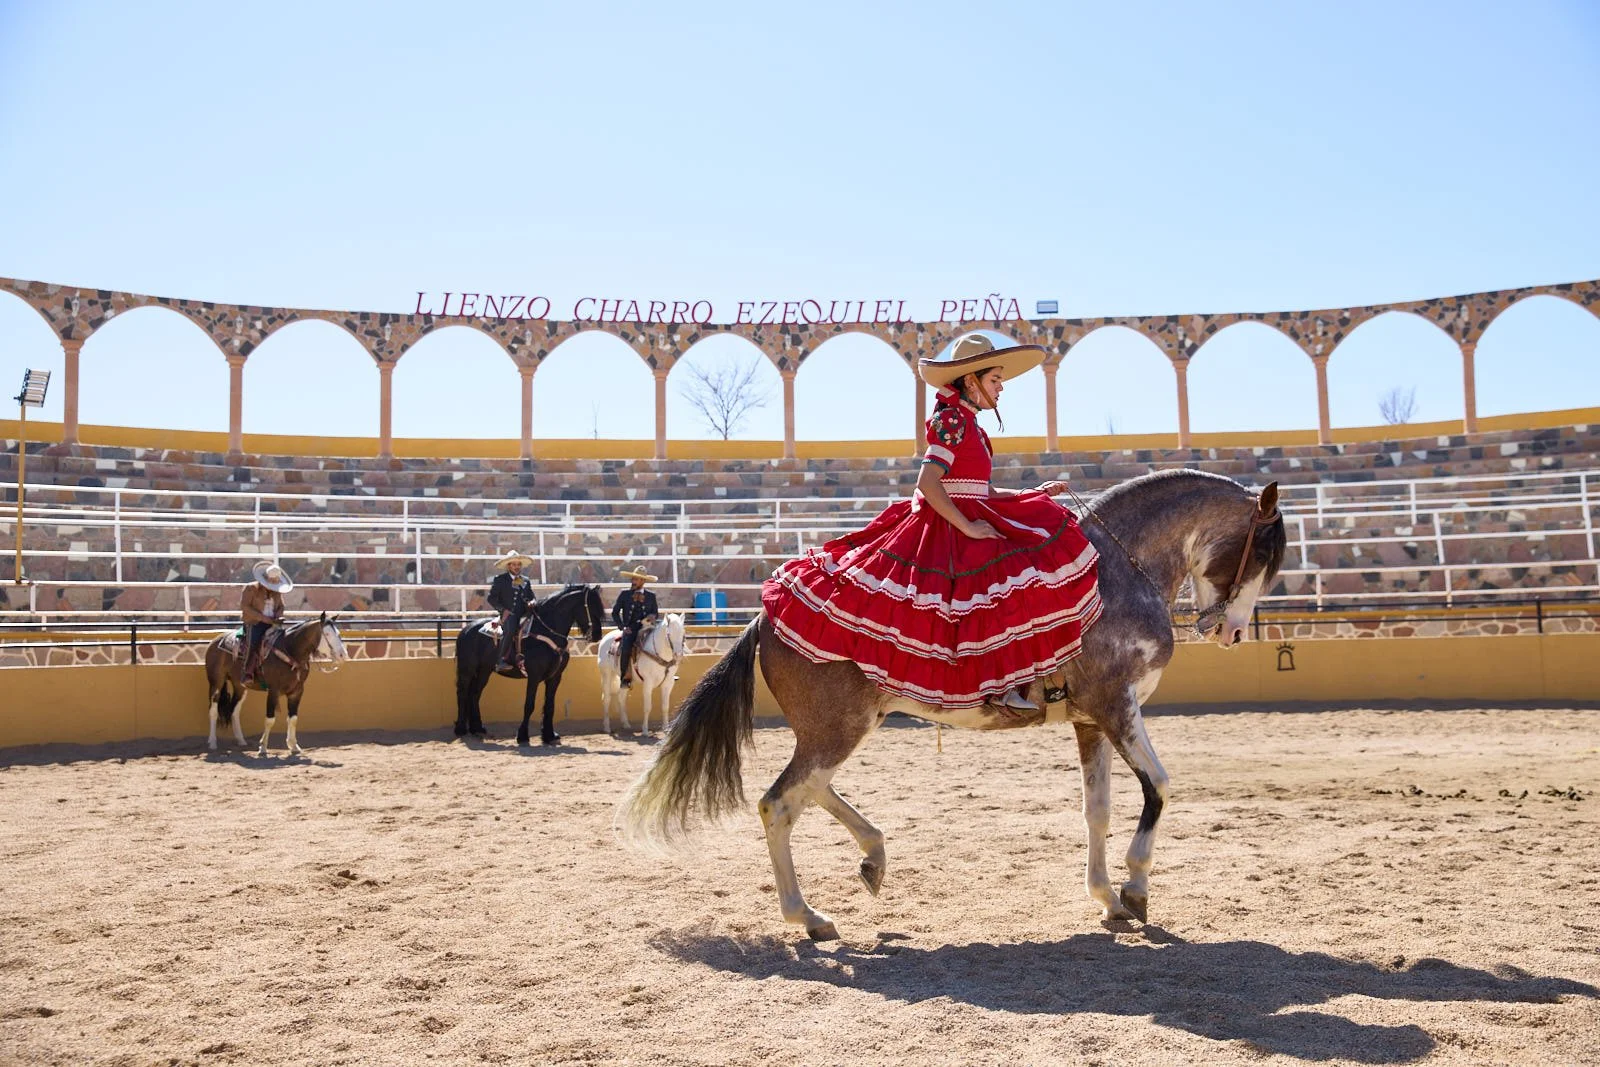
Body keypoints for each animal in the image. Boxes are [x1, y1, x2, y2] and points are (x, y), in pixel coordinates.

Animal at [204, 612, 349, 756]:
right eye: (328, 634)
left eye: (338, 633)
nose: (343, 655)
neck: (290, 651)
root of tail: (216, 640)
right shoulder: (273, 690)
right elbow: (270, 719)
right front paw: (263, 747)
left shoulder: (297, 691)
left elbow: (293, 718)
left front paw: (294, 746)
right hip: (216, 682)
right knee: (213, 710)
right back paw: (212, 742)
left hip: (240, 686)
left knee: (234, 710)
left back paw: (241, 740)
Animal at [453, 583, 606, 745]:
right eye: (590, 607)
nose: (597, 635)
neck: (546, 632)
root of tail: (466, 630)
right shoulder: (534, 676)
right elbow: (529, 704)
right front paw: (522, 735)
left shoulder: (555, 677)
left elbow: (549, 705)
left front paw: (549, 735)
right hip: (466, 670)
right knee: (462, 693)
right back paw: (461, 729)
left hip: (484, 670)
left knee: (475, 693)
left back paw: (477, 728)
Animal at [617, 470, 1286, 940]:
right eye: (1261, 552)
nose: (1231, 630)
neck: (1119, 569)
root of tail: (764, 617)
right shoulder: (1117, 707)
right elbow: (1160, 787)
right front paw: (1137, 886)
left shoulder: (1091, 721)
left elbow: (1096, 810)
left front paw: (1106, 897)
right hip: (838, 730)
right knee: (779, 803)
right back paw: (808, 917)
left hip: (847, 727)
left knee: (810, 790)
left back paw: (872, 858)